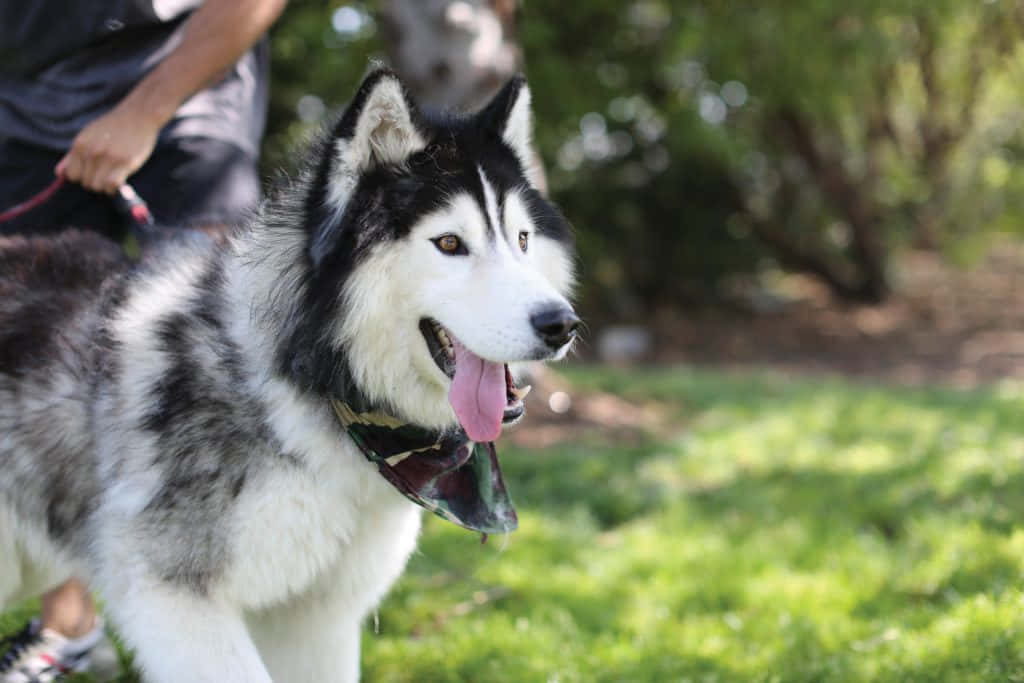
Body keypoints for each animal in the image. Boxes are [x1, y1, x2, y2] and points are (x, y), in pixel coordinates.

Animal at [0, 70, 577, 683]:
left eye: (521, 240)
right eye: (449, 243)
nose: (561, 325)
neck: (304, 380)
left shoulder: (316, 617)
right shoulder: (175, 598)